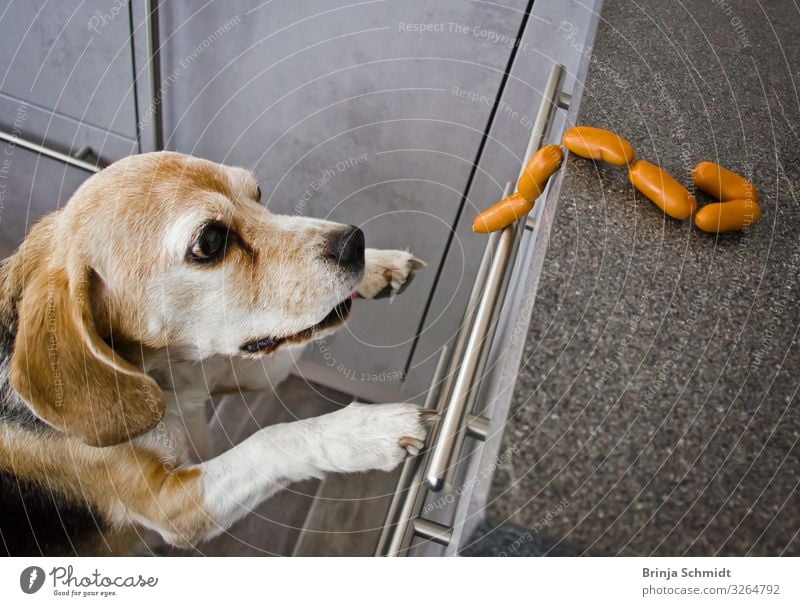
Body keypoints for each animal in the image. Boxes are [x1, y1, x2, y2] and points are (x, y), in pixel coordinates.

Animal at [0, 152, 428, 556]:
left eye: (257, 193)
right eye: (209, 242)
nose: (355, 242)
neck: (165, 372)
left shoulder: (234, 365)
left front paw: (381, 266)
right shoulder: (173, 506)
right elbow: (272, 439)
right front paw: (367, 430)